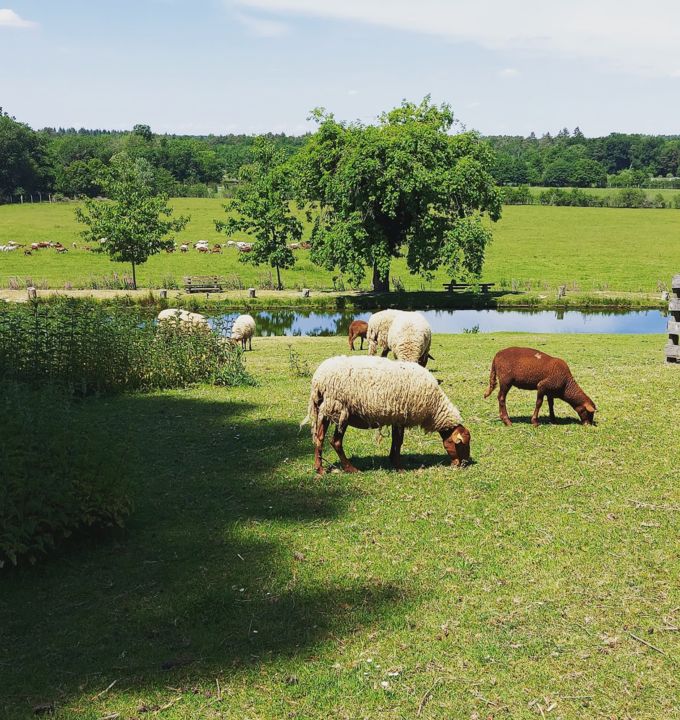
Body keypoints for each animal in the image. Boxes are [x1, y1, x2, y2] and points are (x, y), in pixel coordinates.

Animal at [304, 355, 470, 473]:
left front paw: (392, 460)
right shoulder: (401, 416)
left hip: (326, 410)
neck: (435, 408)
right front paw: (399, 467)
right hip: (341, 411)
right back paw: (351, 469)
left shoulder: (397, 418)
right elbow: (398, 442)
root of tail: (318, 379)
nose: (463, 464)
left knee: (319, 438)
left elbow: (396, 441)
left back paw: (319, 469)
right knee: (335, 442)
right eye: (461, 445)